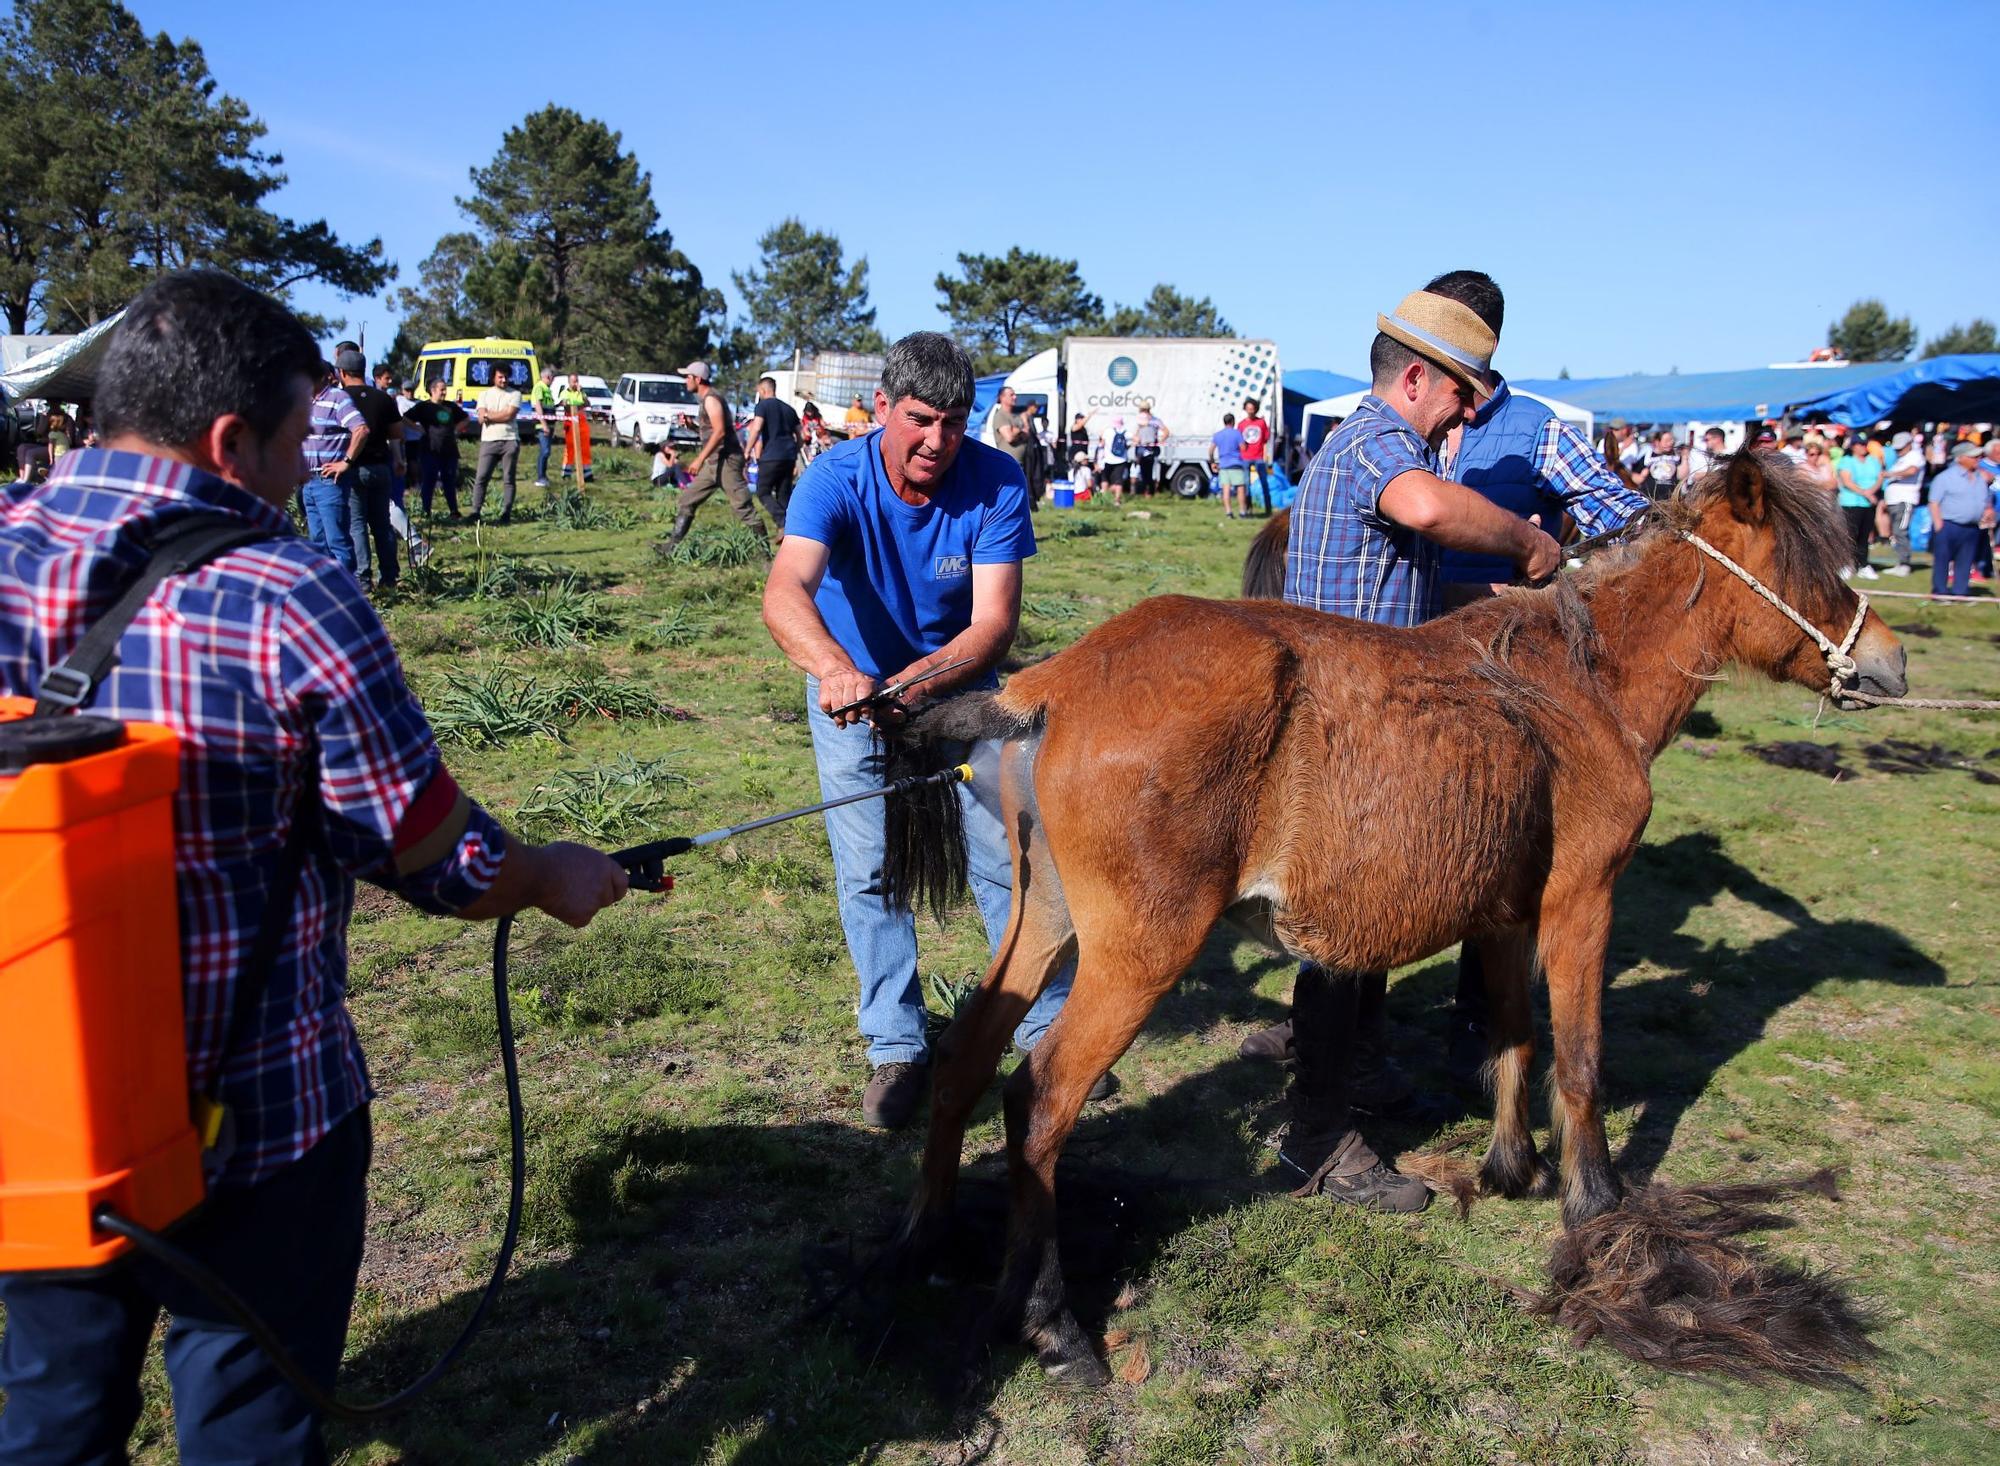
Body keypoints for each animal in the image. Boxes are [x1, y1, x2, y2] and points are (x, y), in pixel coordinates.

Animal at [888, 454, 1904, 1384]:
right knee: (1039, 1102)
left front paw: (1512, 1166)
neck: (1575, 683)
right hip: (1139, 952)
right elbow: (1578, 1058)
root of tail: (1054, 682)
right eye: (1816, 571)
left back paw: (930, 1235)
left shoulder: (1504, 915)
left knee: (968, 1056)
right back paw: (1050, 1321)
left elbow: (1512, 1033)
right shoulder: (1583, 896)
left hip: (1044, 923)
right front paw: (1596, 1201)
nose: (1890, 659)